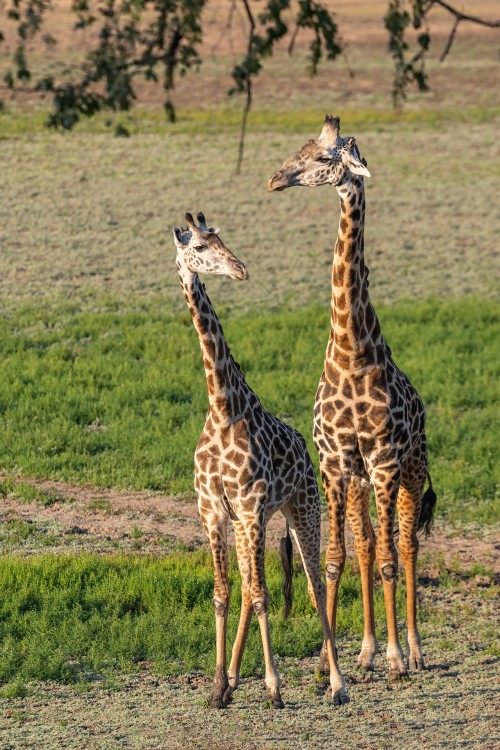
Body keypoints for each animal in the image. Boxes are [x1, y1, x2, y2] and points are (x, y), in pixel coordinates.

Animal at [174, 213, 350, 712]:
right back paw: (233, 680)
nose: (240, 269)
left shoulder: (252, 507)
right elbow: (224, 593)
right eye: (198, 246)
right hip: (247, 523)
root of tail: (306, 451)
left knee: (311, 584)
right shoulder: (214, 511)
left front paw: (273, 687)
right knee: (251, 584)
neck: (222, 408)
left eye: (220, 237)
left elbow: (262, 596)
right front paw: (218, 686)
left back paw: (337, 684)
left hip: (303, 508)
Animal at [268, 116, 436, 680]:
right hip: (363, 481)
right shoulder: (337, 463)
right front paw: (330, 660)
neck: (351, 352)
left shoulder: (383, 461)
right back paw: (364, 649)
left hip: (410, 469)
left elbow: (388, 559)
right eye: (298, 148)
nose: (276, 179)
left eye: (325, 158)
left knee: (403, 545)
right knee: (366, 544)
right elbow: (337, 557)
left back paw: (414, 650)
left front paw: (395, 659)